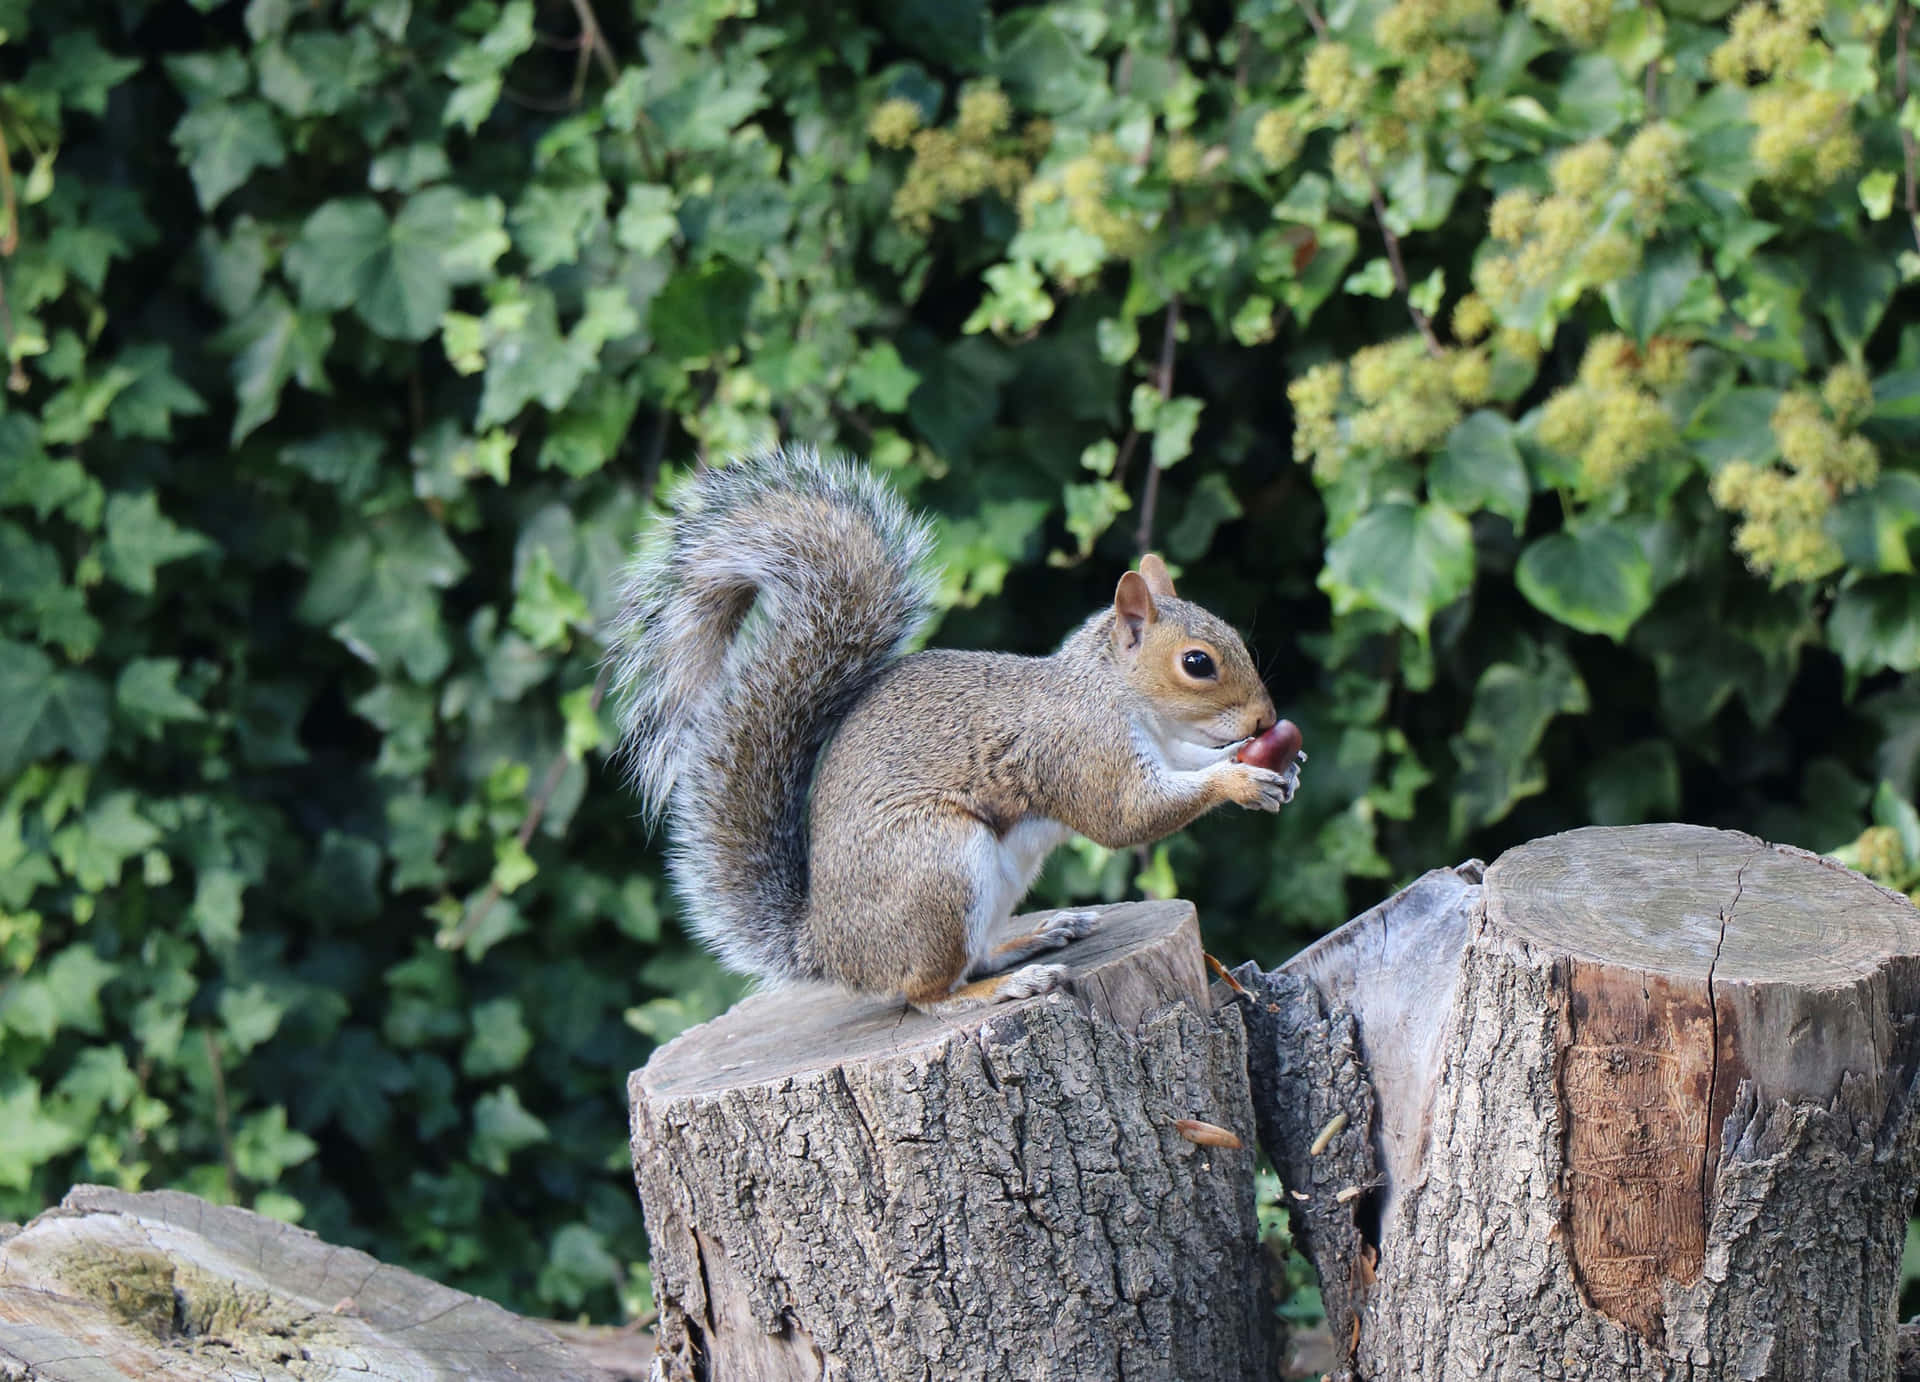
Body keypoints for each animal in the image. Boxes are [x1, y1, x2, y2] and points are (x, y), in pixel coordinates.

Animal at [610, 445, 1305, 1013]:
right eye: (1197, 663)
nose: (1265, 720)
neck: (1113, 692)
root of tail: (830, 949)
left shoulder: (1164, 745)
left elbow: (1186, 764)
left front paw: (1273, 766)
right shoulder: (1081, 747)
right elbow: (1126, 817)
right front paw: (1239, 782)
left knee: (971, 959)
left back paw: (1033, 940)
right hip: (938, 866)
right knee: (928, 994)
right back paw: (1005, 986)